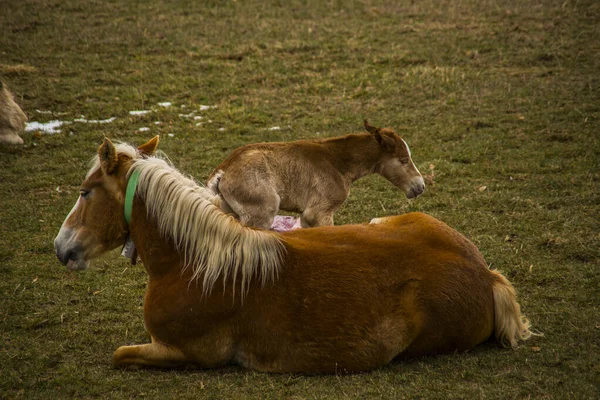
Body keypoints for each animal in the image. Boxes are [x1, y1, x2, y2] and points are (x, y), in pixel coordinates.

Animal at [54, 136, 536, 374]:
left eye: (85, 192)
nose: (61, 247)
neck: (195, 263)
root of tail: (485, 273)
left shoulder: (188, 352)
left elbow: (119, 354)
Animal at [209, 120, 424, 230]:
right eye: (404, 160)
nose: (420, 186)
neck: (336, 162)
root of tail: (224, 170)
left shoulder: (306, 217)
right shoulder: (320, 212)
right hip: (261, 215)